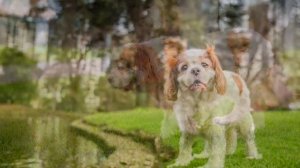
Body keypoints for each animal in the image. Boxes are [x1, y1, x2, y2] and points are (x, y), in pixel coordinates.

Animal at [164, 37, 262, 168]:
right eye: (184, 67)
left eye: (204, 64)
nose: (195, 70)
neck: (198, 99)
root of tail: (236, 76)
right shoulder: (188, 129)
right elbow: (184, 147)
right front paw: (180, 163)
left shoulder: (216, 129)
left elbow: (216, 151)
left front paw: (212, 165)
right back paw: (208, 154)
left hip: (243, 121)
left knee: (249, 140)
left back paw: (252, 156)